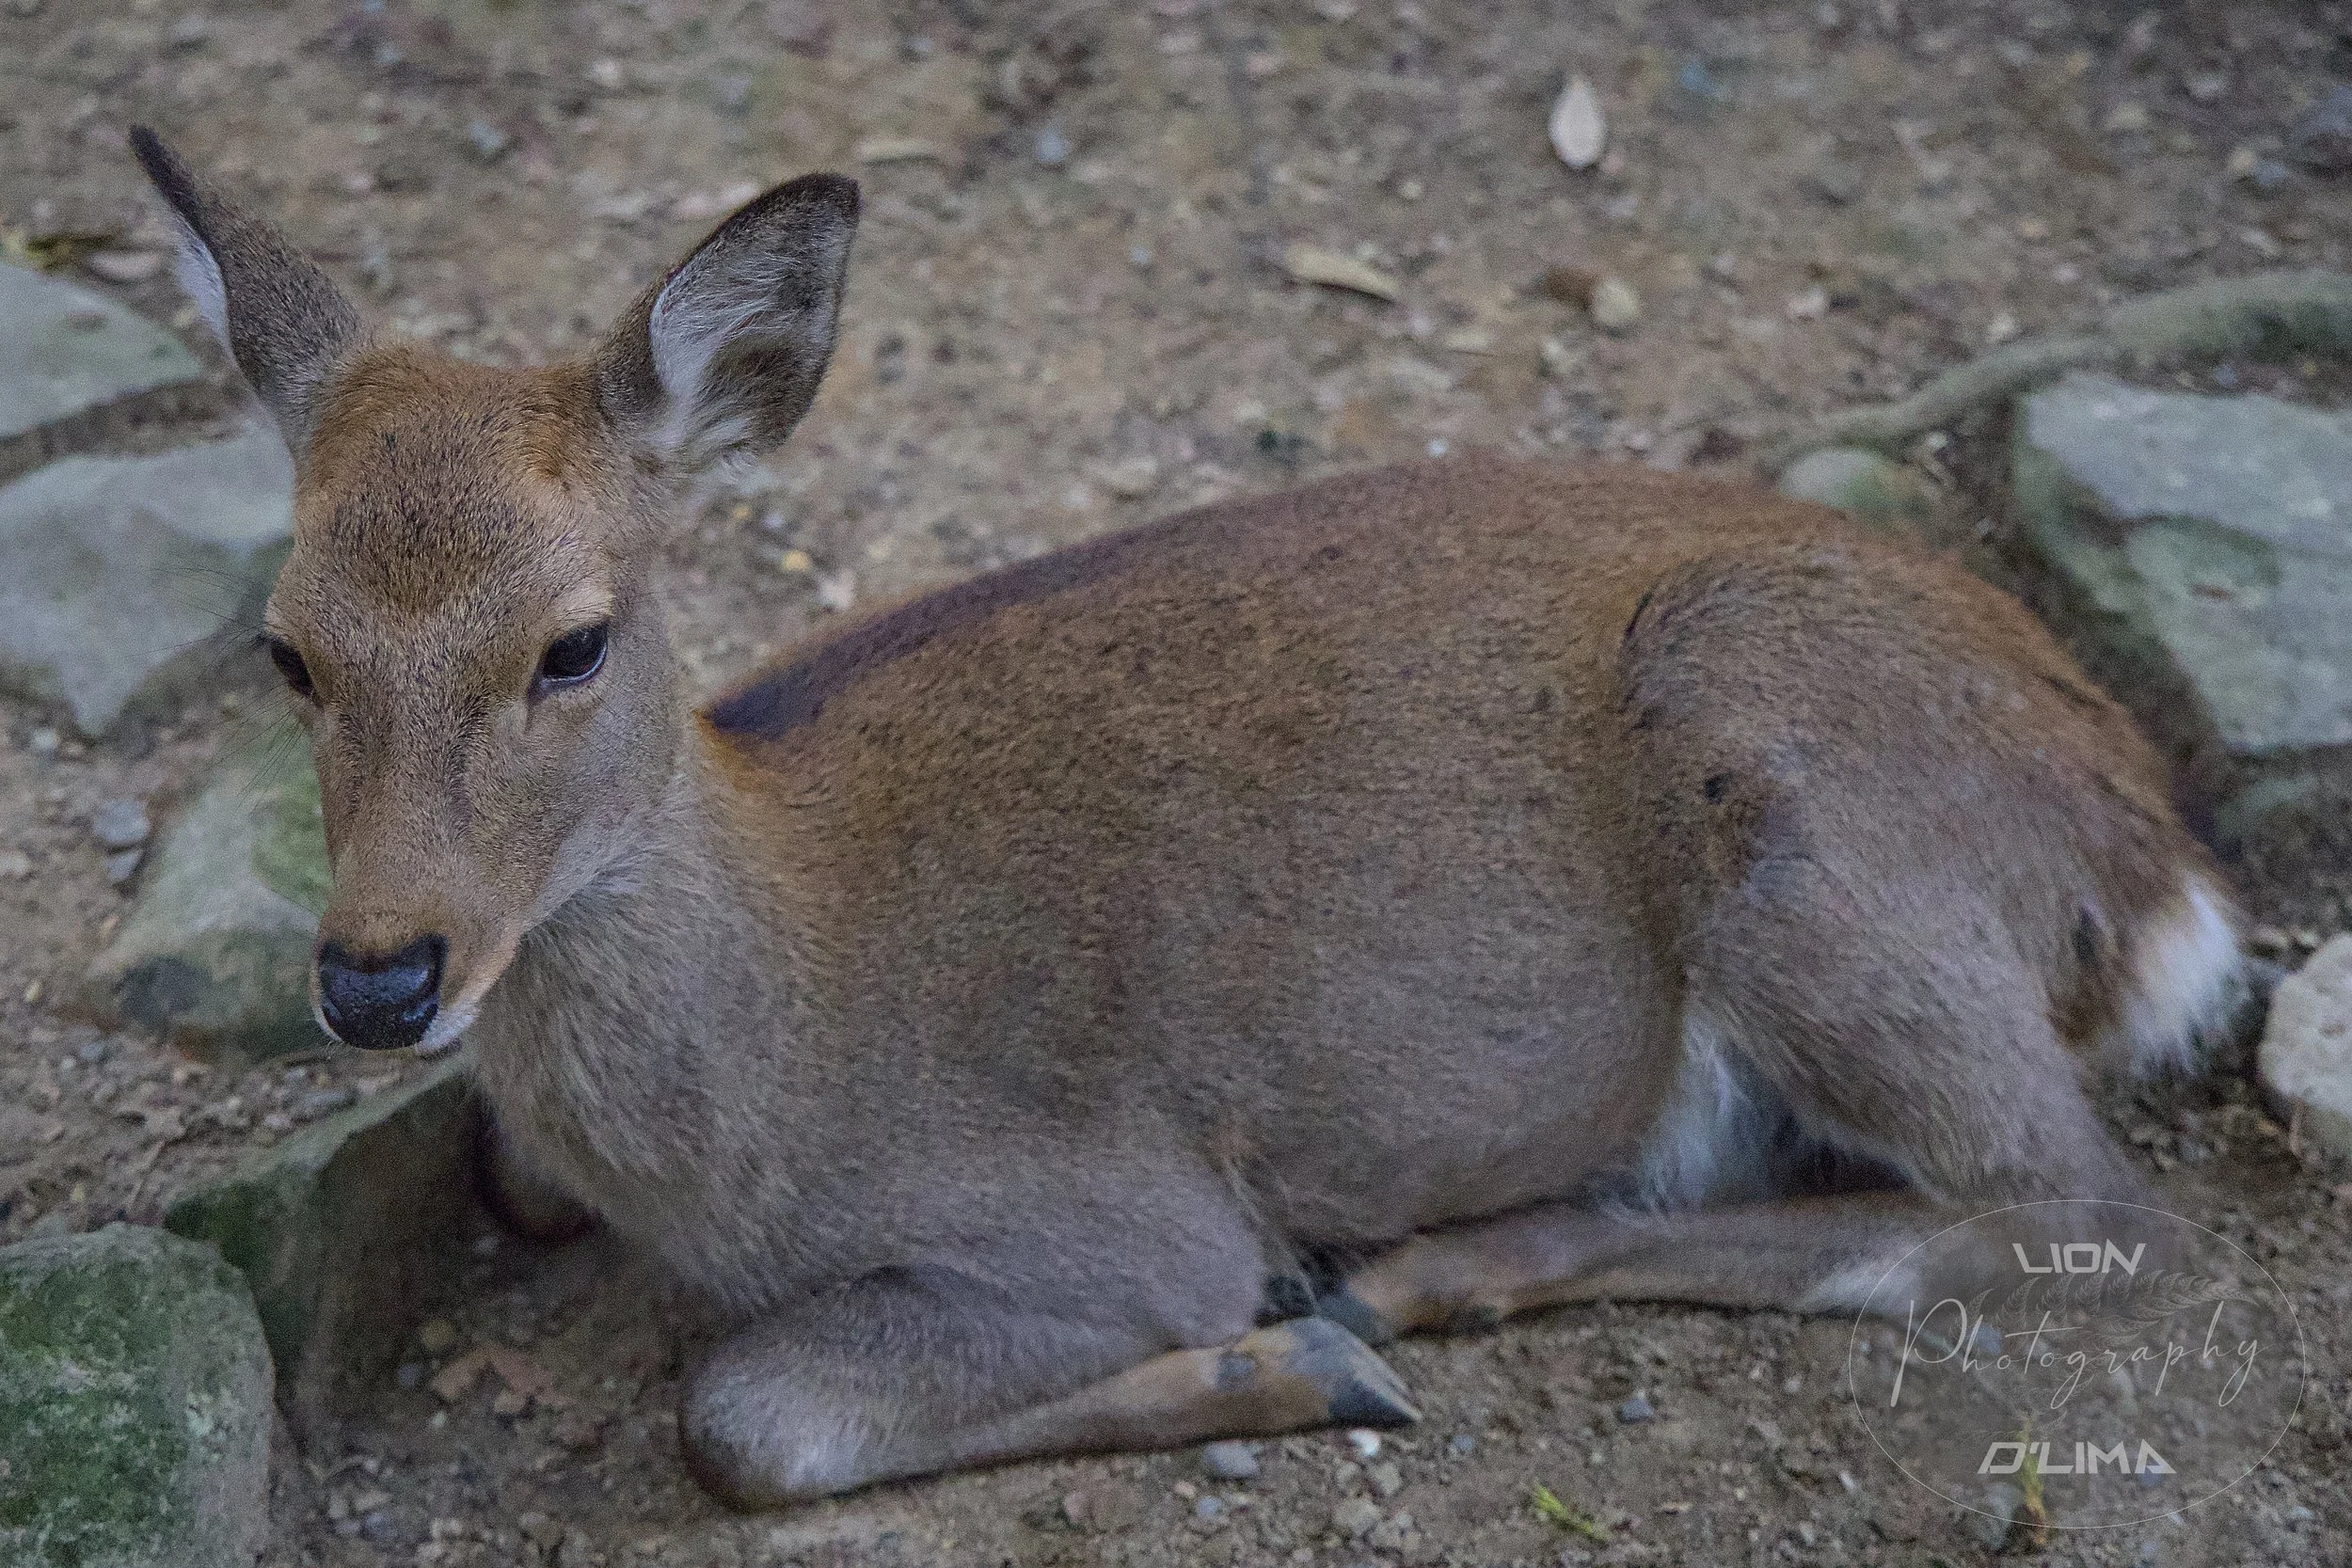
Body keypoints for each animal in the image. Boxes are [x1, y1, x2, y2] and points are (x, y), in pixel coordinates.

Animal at [129, 128, 2246, 1508]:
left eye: (572, 642)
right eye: (285, 645)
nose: (381, 975)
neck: (761, 1094)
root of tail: (2154, 867)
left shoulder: (1104, 1212)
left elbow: (748, 1415)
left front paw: (1285, 1354)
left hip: (1807, 815)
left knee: (2088, 1210)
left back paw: (1414, 1281)